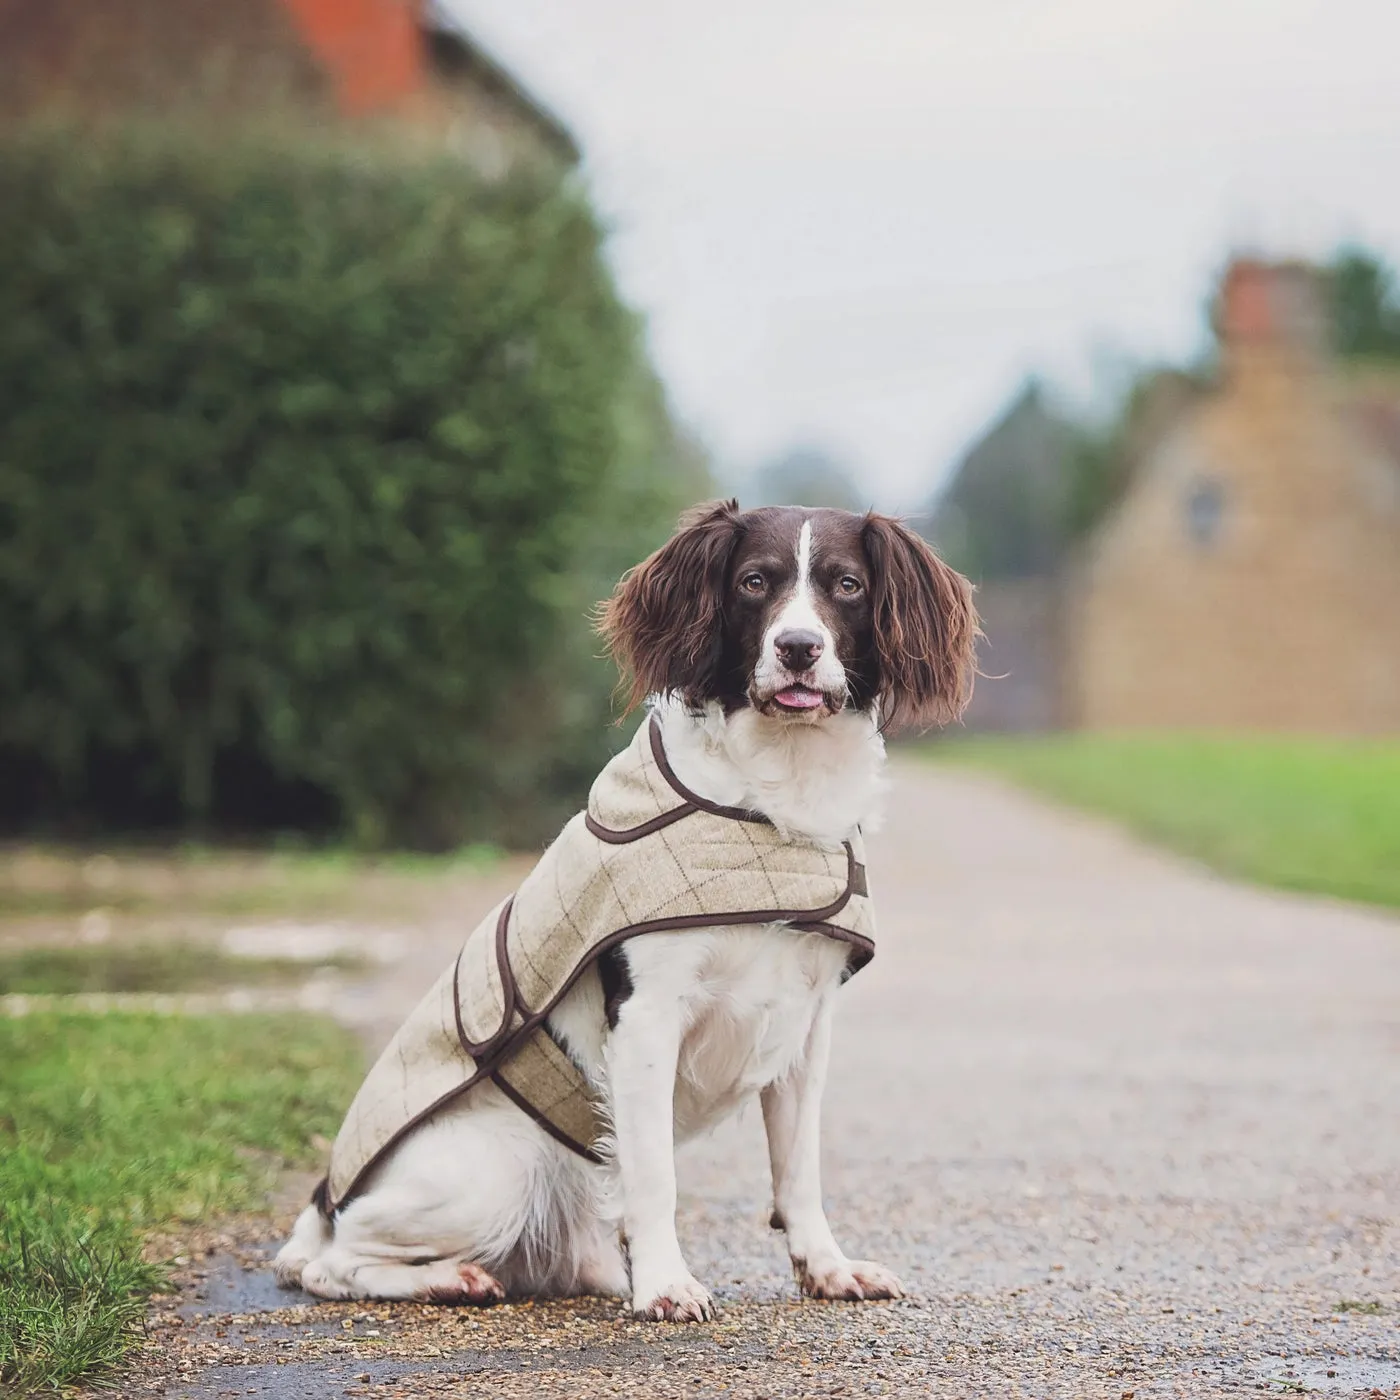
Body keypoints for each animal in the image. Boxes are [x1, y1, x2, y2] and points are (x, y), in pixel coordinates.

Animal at [273, 501, 974, 1321]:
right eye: (754, 582)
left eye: (848, 585)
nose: (798, 647)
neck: (771, 807)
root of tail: (324, 1199)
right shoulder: (646, 1015)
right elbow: (655, 1177)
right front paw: (668, 1284)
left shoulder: (807, 1024)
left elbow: (799, 1170)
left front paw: (827, 1268)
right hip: (496, 1170)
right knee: (329, 1263)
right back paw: (449, 1278)